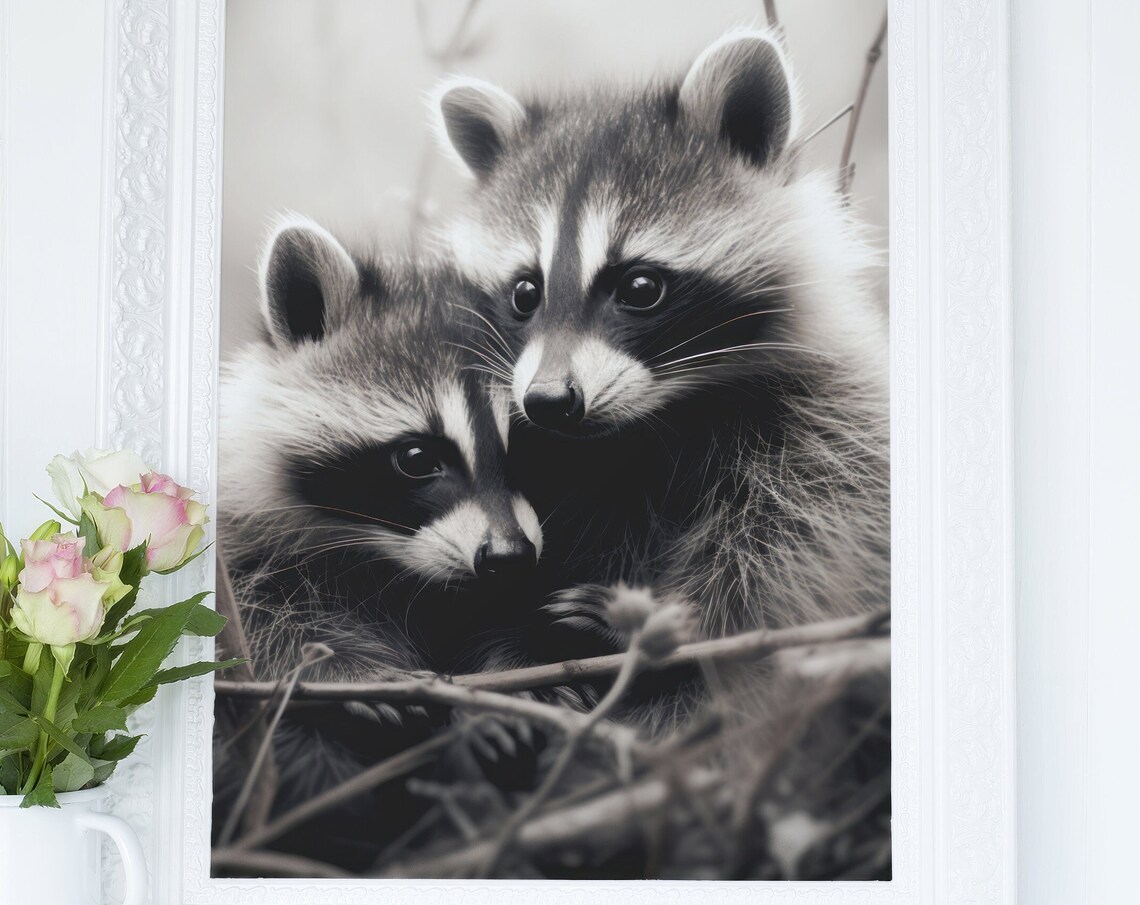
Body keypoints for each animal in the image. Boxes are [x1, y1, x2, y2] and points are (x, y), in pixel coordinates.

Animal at [431, 28, 889, 681]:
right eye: (525, 292)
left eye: (640, 287)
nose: (548, 402)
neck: (651, 426)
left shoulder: (825, 423)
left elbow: (785, 562)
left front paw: (660, 625)